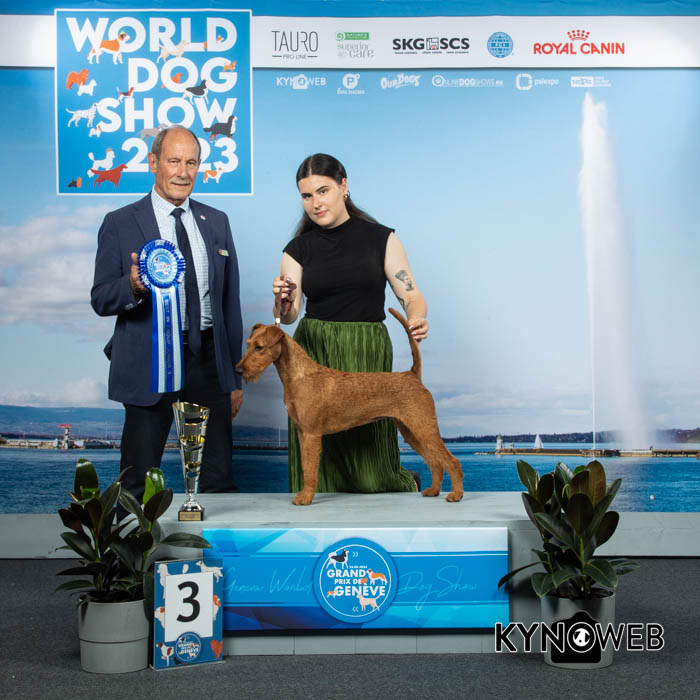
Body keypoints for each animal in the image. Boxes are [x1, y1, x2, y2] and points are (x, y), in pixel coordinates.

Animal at [236, 308, 464, 506]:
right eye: (248, 344)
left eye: (259, 347)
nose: (238, 370)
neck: (299, 376)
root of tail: (413, 374)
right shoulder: (302, 432)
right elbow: (305, 465)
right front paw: (304, 495)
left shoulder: (311, 433)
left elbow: (310, 469)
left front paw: (305, 498)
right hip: (410, 431)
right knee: (435, 461)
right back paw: (433, 490)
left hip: (423, 426)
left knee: (451, 460)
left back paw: (456, 494)